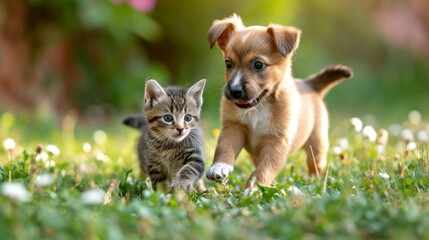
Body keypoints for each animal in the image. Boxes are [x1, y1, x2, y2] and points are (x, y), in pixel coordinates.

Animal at [206, 14, 352, 191]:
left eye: (258, 65)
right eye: (228, 64)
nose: (234, 91)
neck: (259, 107)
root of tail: (310, 84)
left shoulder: (277, 143)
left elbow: (264, 170)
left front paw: (253, 189)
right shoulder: (233, 128)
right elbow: (224, 148)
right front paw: (219, 166)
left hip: (317, 145)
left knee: (315, 165)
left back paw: (315, 181)